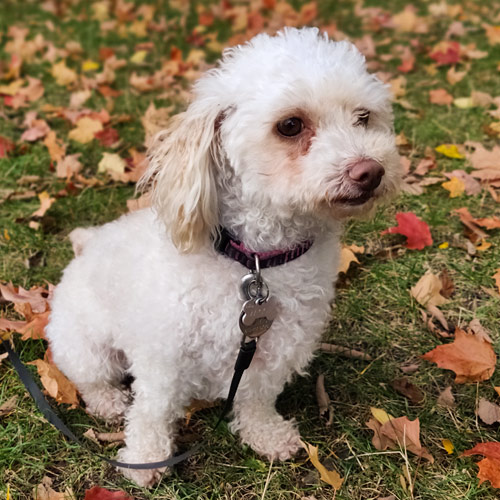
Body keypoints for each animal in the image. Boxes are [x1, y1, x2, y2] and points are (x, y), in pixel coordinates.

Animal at [45, 26, 400, 484]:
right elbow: (152, 411)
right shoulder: (163, 356)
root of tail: (87, 243)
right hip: (84, 345)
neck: (256, 261)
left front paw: (265, 434)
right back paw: (108, 402)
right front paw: (145, 458)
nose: (370, 171)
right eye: (290, 125)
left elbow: (257, 398)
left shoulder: (272, 349)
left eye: (363, 117)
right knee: (90, 379)